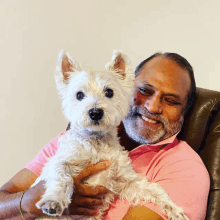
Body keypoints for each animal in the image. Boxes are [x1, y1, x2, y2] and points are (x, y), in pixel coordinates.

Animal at [31, 50, 189, 220]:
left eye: (109, 92)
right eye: (79, 95)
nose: (95, 113)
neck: (96, 142)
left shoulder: (125, 179)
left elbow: (153, 189)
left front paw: (175, 210)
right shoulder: (63, 160)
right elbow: (61, 175)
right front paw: (53, 200)